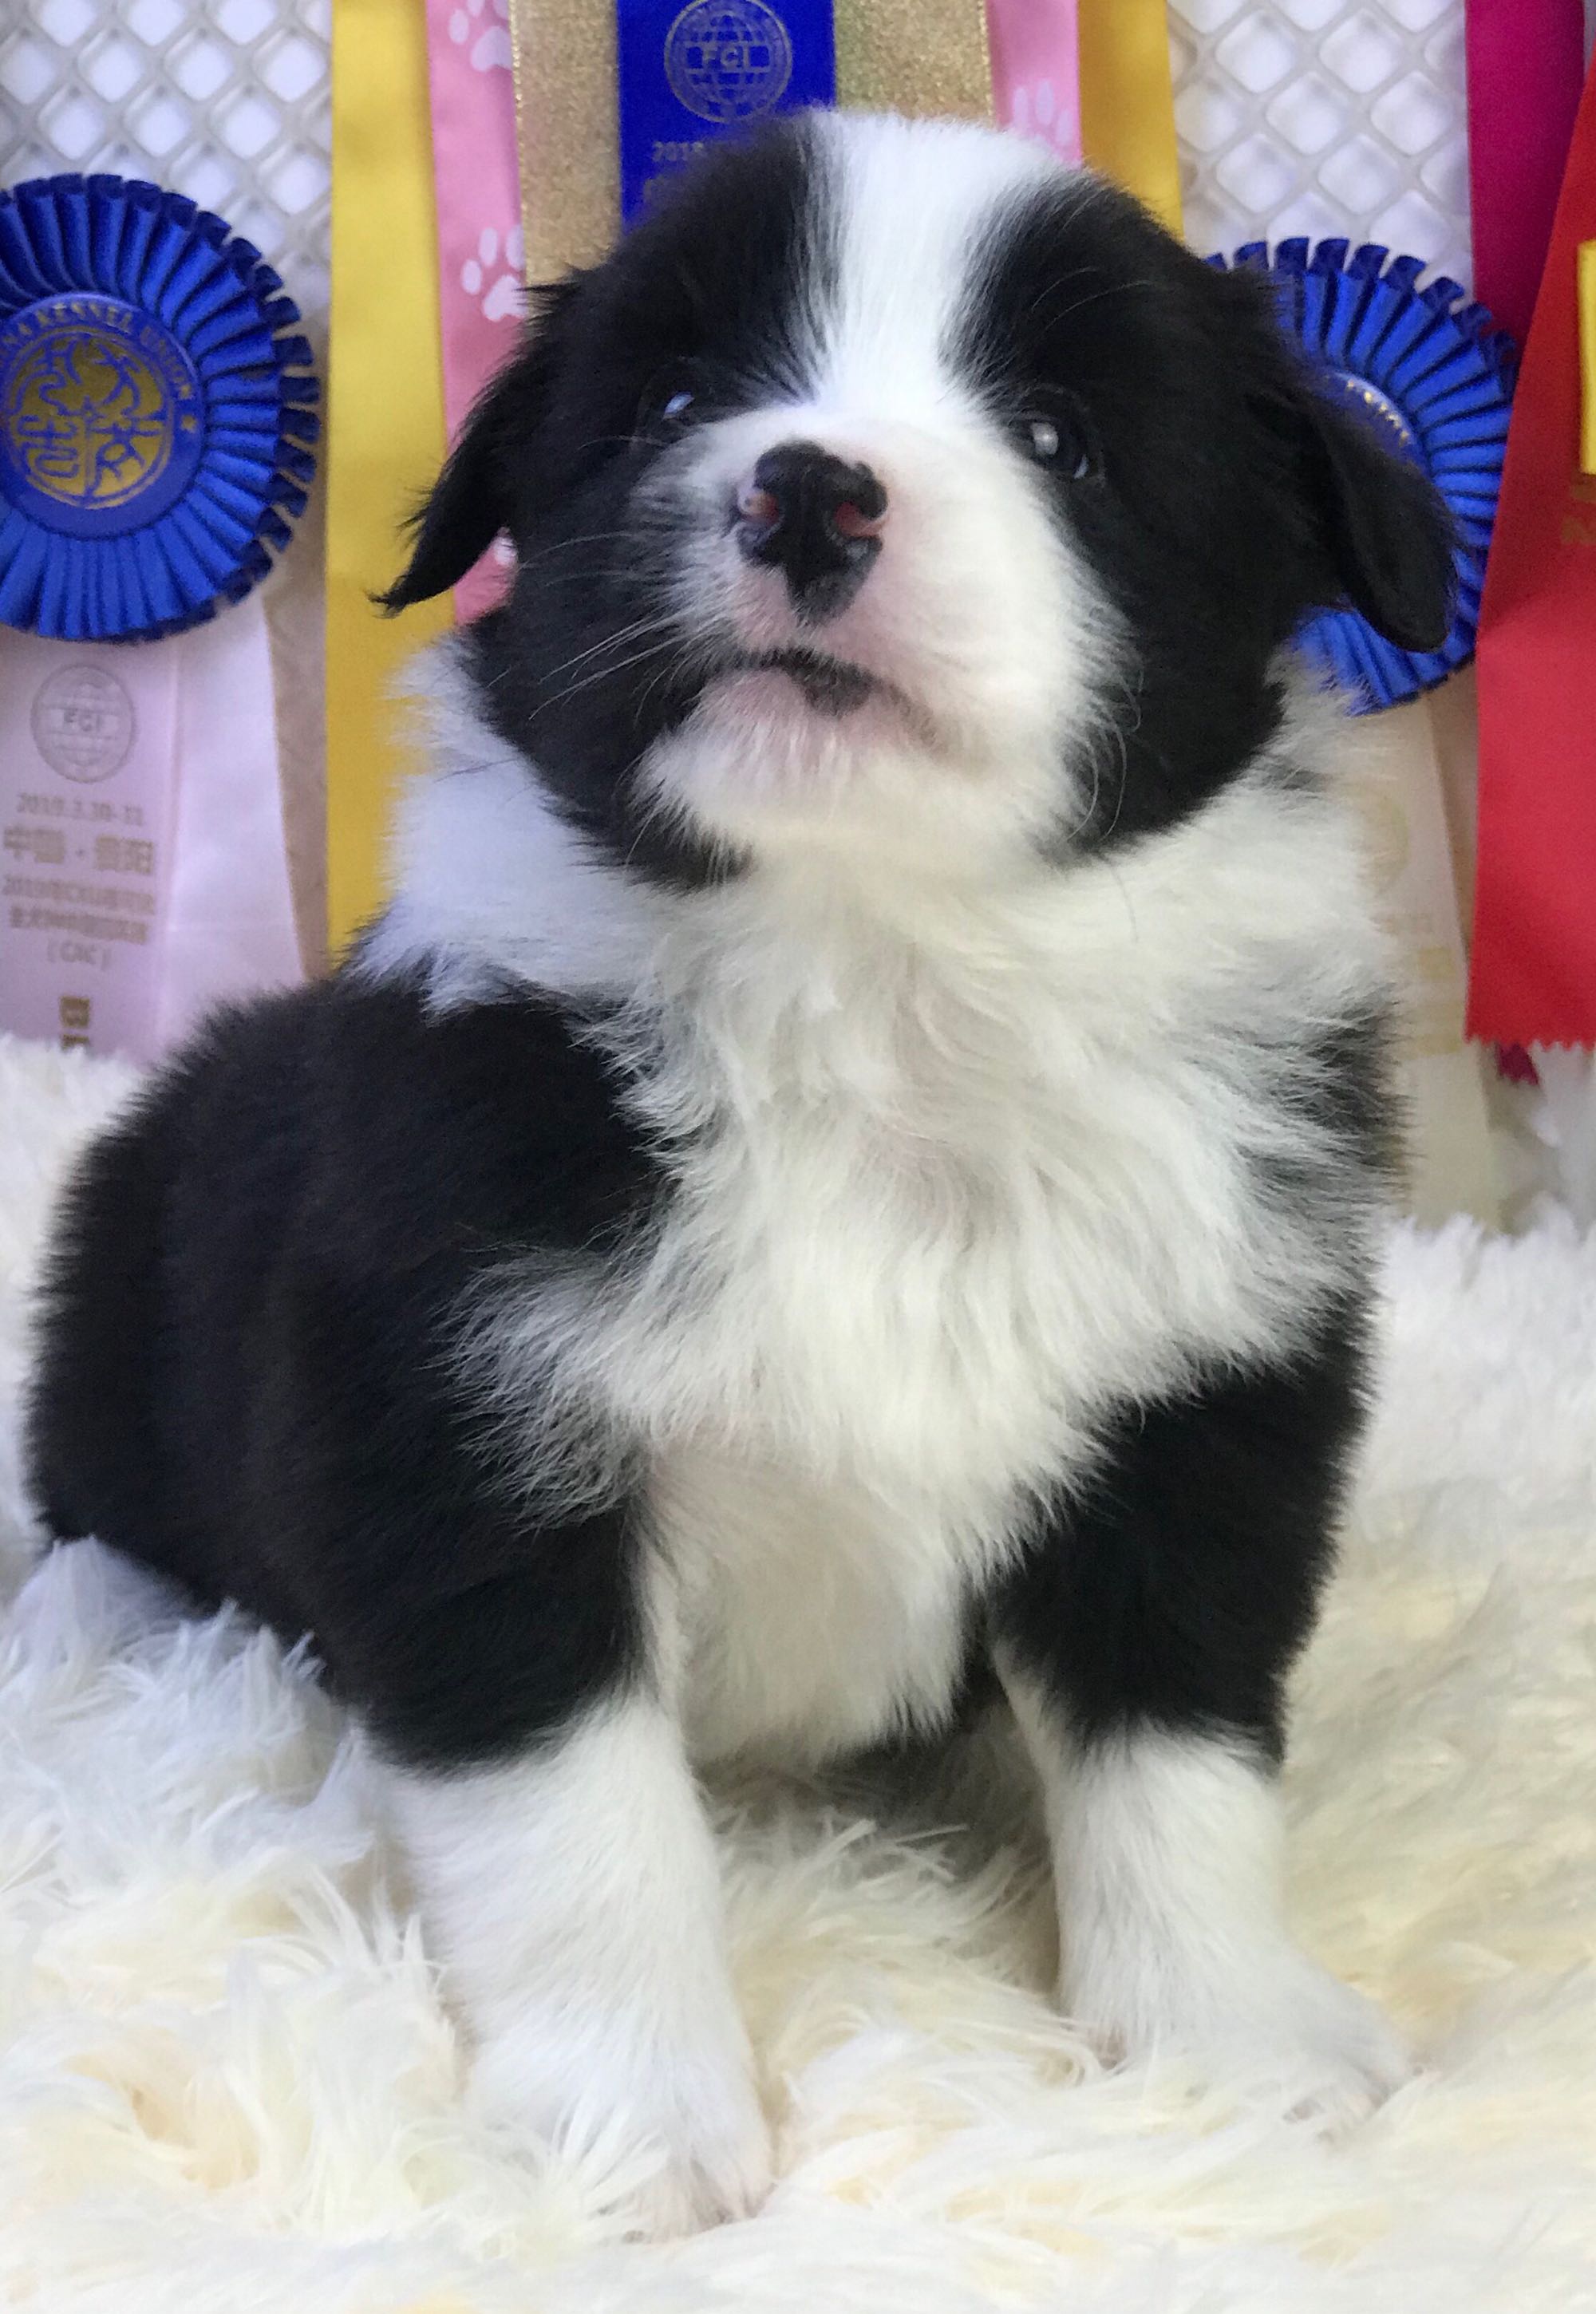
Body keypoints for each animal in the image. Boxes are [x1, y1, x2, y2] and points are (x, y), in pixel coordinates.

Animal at [25, 111, 1452, 2237]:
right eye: (677, 400)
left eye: (1059, 434)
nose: (804, 486)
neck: (872, 980)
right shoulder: (452, 1418)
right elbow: (576, 1813)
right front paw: (629, 2126)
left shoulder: (1204, 1415)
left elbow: (1181, 1752)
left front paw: (1227, 2046)